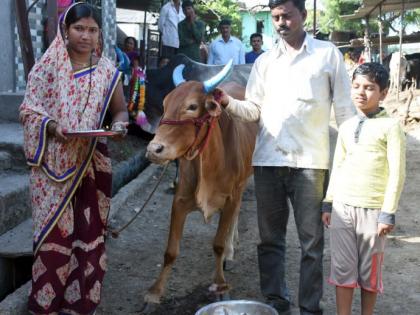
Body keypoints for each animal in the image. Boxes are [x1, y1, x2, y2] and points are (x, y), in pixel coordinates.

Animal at [143, 63, 258, 304]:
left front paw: (220, 284)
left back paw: (231, 249)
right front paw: (155, 291)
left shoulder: (230, 197)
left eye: (192, 106)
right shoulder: (180, 201)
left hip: (243, 182)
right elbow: (170, 251)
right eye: (165, 104)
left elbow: (218, 244)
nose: (154, 149)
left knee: (236, 212)